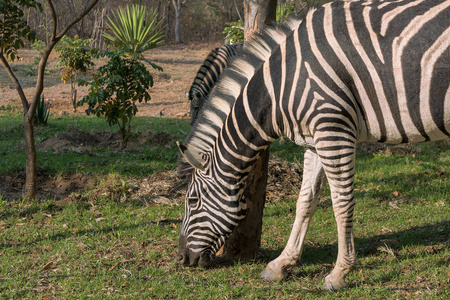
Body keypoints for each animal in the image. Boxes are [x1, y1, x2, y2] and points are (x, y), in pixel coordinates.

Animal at [177, 0, 450, 290]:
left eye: (192, 200)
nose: (181, 258)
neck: (280, 85)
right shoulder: (314, 140)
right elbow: (305, 201)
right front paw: (280, 264)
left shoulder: (332, 128)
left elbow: (341, 203)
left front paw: (339, 273)